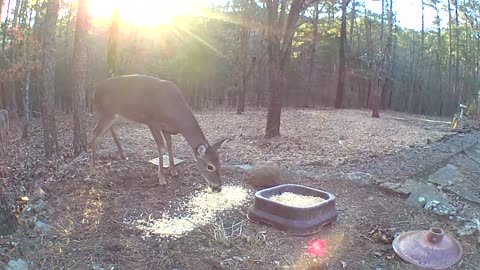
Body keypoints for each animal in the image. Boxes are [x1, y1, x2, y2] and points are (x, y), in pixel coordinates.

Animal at [90, 74, 229, 192]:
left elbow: (170, 144)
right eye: (210, 166)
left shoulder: (166, 128)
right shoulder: (152, 122)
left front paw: (173, 171)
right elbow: (161, 145)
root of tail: (95, 90)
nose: (218, 186)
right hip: (106, 112)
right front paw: (162, 178)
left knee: (109, 128)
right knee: (94, 132)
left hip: (113, 115)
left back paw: (122, 154)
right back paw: (93, 169)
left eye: (220, 162)